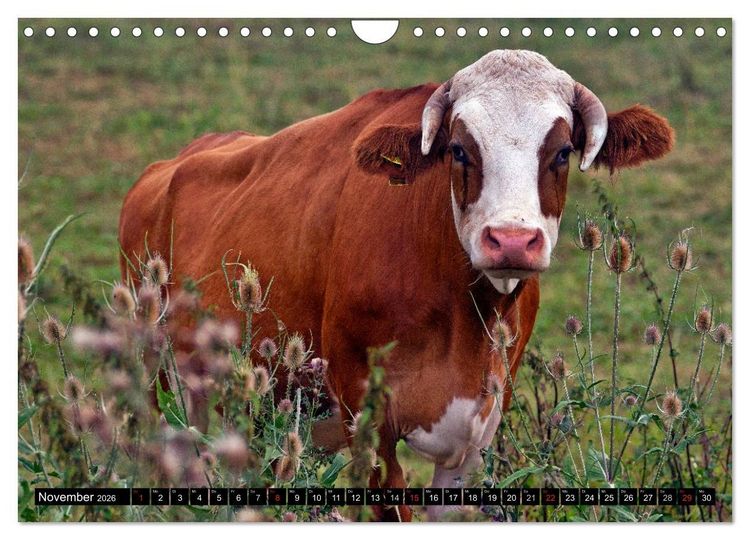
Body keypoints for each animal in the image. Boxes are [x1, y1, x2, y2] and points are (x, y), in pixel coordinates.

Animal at [119, 49, 674, 521]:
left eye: (561, 152)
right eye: (459, 149)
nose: (512, 241)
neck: (465, 323)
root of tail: (170, 165)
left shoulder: (478, 429)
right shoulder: (365, 413)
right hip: (159, 380)